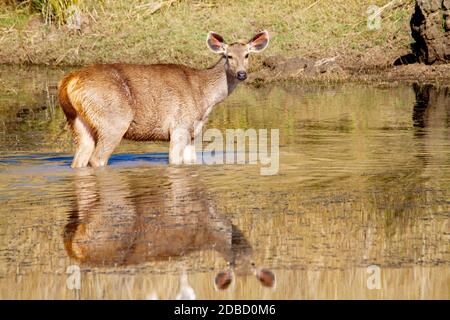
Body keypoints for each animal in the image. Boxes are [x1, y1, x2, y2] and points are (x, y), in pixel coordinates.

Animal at [59, 31, 270, 169]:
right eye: (228, 56)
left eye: (247, 55)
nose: (242, 74)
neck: (204, 97)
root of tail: (69, 82)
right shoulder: (179, 126)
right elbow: (174, 162)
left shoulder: (193, 132)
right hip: (113, 121)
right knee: (97, 159)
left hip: (78, 122)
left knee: (79, 159)